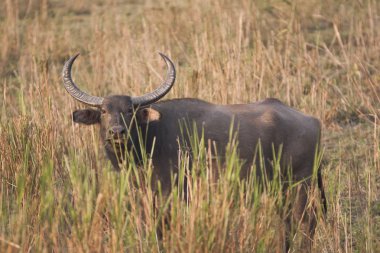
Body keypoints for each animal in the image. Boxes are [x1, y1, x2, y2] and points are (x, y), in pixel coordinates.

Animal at [60, 52, 326, 249]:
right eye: (104, 111)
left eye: (129, 111)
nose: (117, 132)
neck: (151, 140)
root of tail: (312, 120)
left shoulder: (168, 196)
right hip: (281, 188)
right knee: (287, 223)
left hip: (300, 184)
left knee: (306, 221)